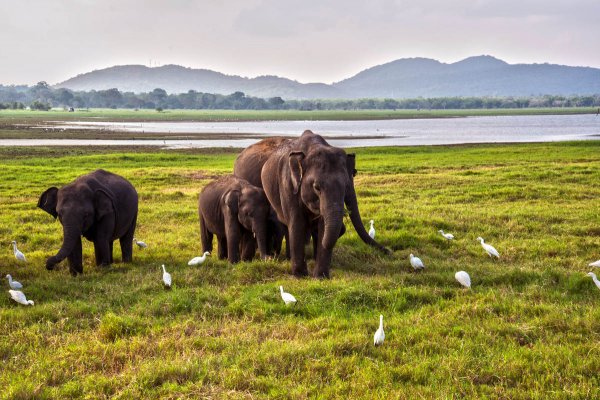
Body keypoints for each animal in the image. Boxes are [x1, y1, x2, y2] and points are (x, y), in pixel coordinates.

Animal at [232, 131, 392, 278]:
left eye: (346, 185)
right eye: (317, 187)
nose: (389, 251)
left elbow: (322, 225)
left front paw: (320, 276)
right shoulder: (288, 185)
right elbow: (297, 222)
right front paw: (300, 275)